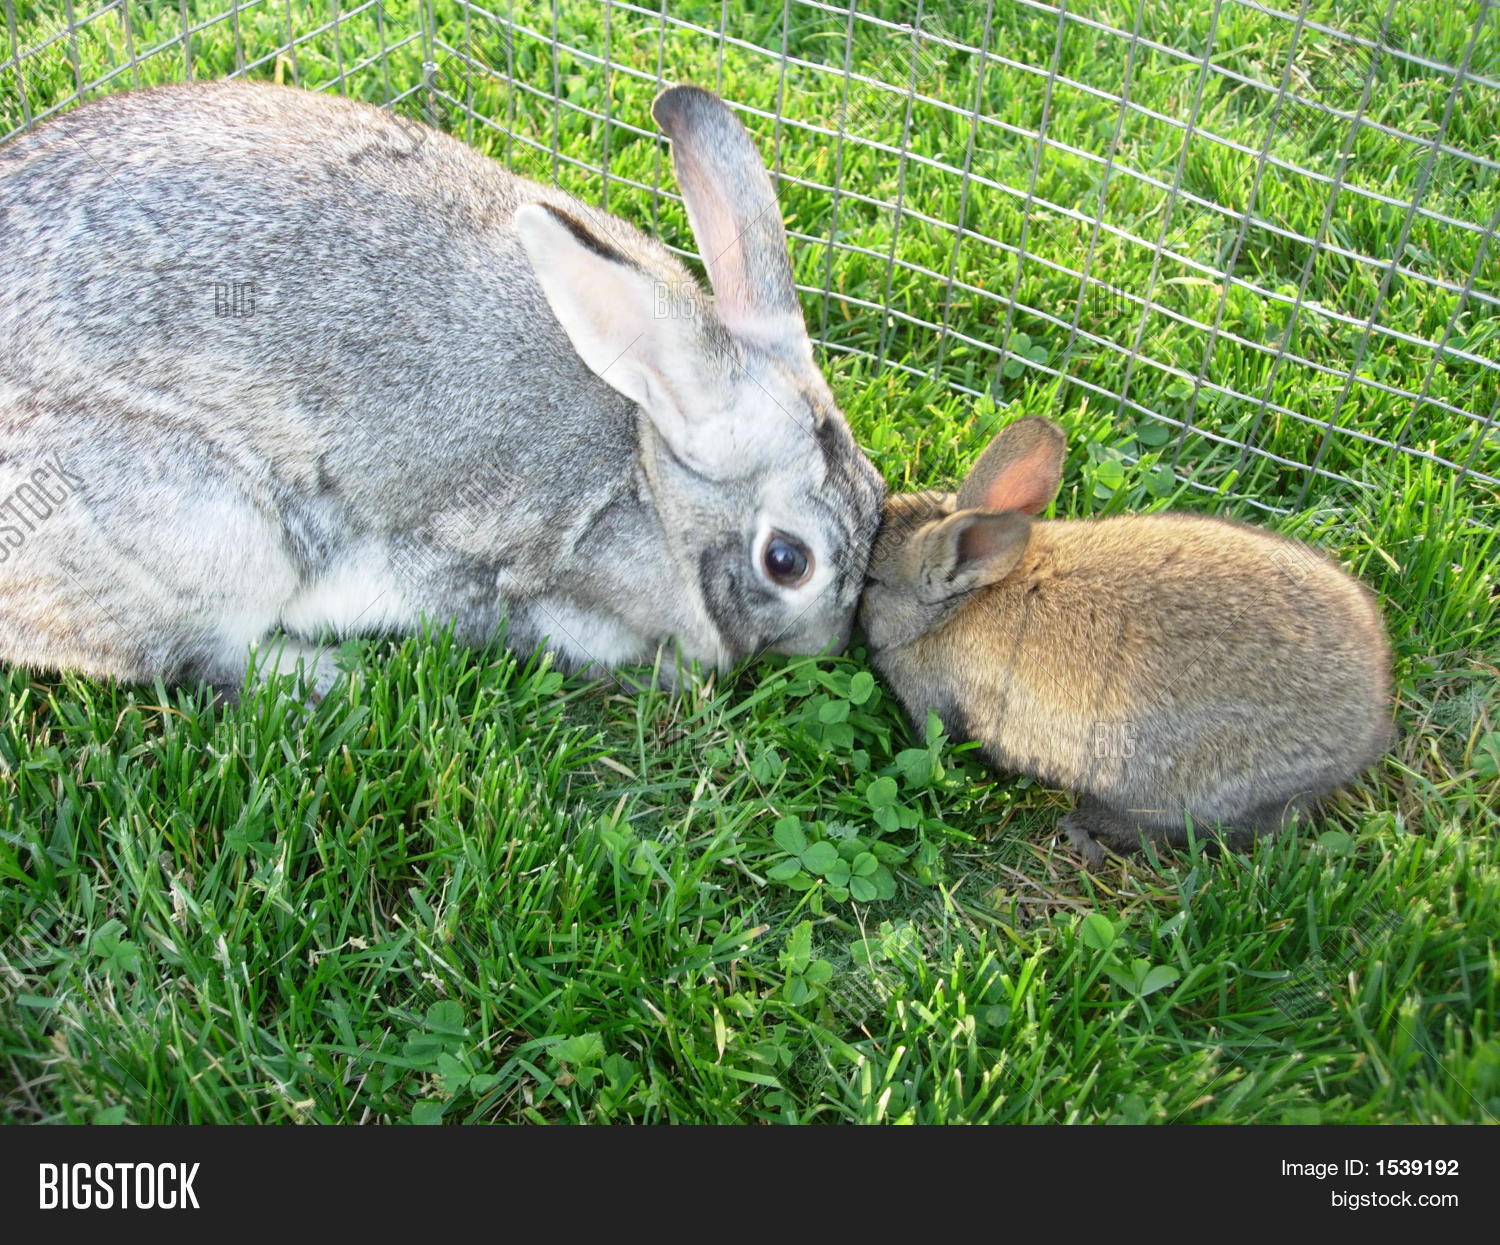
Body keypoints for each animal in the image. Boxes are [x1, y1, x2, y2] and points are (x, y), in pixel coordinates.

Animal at [0, 81, 884, 699]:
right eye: (787, 561)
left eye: (878, 493)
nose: (831, 644)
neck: (648, 475)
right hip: (211, 534)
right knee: (205, 657)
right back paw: (332, 679)